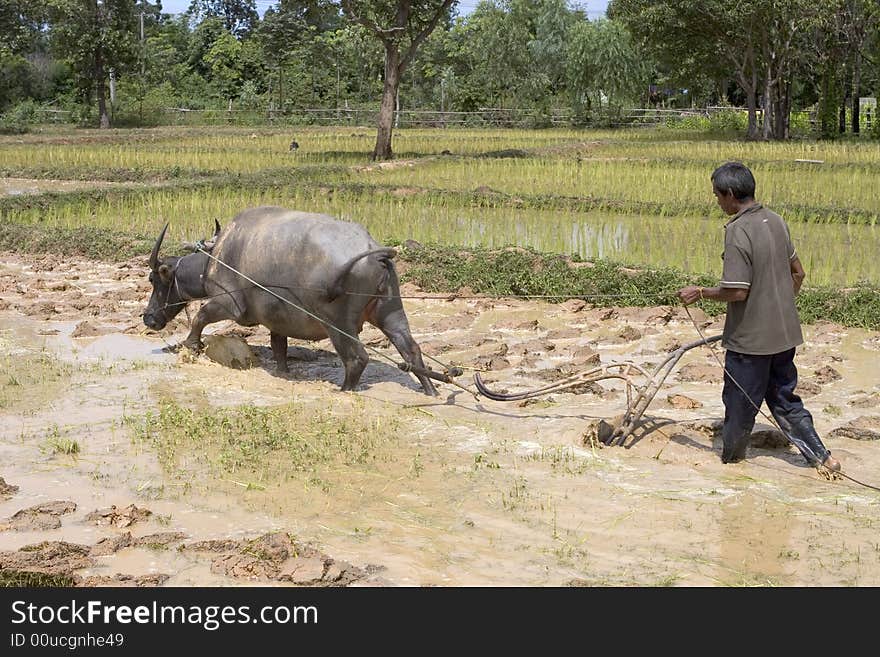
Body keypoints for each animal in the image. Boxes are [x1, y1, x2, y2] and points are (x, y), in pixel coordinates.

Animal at [144, 208, 440, 394]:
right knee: (411, 350)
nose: (148, 318)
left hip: (339, 323)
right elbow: (279, 347)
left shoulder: (228, 303)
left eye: (154, 280)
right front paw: (284, 370)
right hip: (390, 310)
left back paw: (344, 390)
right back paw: (431, 391)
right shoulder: (278, 319)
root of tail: (373, 251)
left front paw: (191, 345)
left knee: (357, 359)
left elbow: (200, 316)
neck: (213, 260)